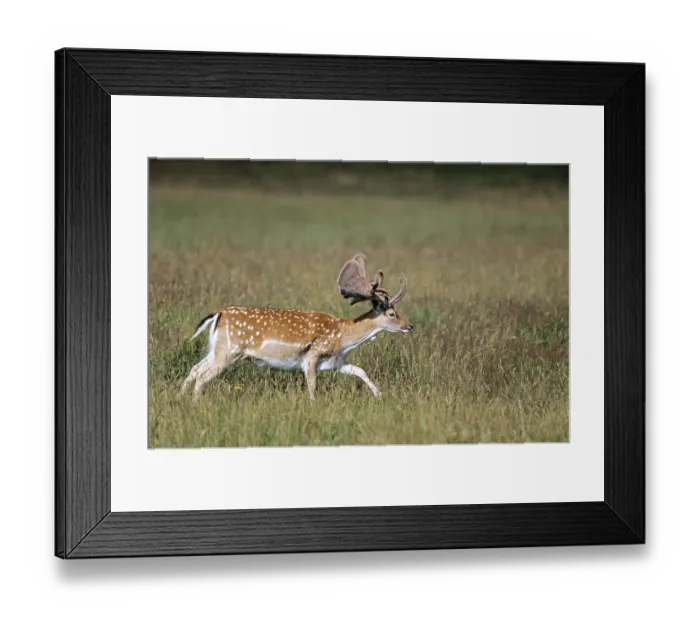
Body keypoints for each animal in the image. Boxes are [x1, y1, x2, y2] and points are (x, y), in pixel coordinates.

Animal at [181, 254, 413, 400]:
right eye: (392, 314)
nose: (409, 325)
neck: (343, 338)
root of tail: (217, 314)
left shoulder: (336, 362)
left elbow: (360, 370)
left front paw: (379, 395)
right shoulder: (311, 356)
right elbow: (312, 386)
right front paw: (313, 404)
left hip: (216, 349)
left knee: (194, 369)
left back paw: (179, 397)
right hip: (228, 351)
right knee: (202, 377)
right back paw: (195, 403)